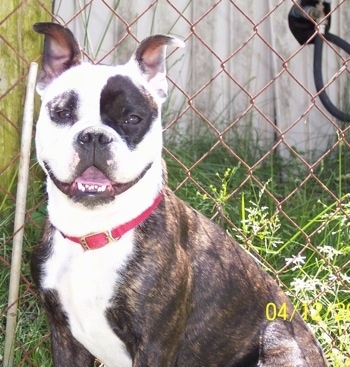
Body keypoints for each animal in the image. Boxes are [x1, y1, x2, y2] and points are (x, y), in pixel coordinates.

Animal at [30, 21, 328, 366]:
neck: (94, 231)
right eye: (62, 113)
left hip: (280, 344)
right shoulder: (64, 336)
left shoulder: (154, 343)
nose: (94, 136)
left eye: (132, 118)